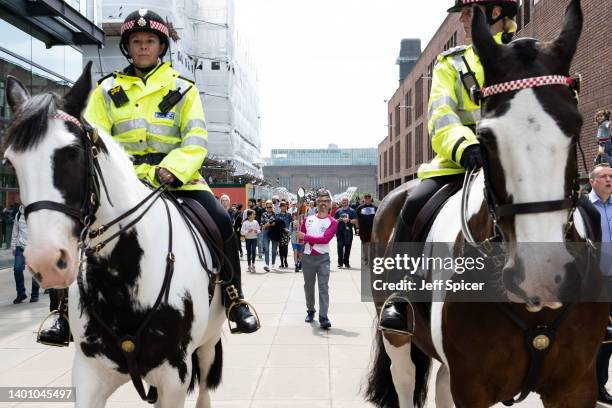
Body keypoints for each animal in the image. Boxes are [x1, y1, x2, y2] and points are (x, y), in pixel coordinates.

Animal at [2, 65, 227, 406]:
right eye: (11, 162)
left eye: (72, 152)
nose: (46, 261)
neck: (123, 277)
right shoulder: (89, 373)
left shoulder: (174, 377)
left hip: (208, 342)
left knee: (203, 387)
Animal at [364, 1, 608, 406]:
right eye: (486, 136)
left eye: (575, 124)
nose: (542, 273)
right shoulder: (472, 386)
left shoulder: (576, 385)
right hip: (397, 337)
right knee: (404, 379)